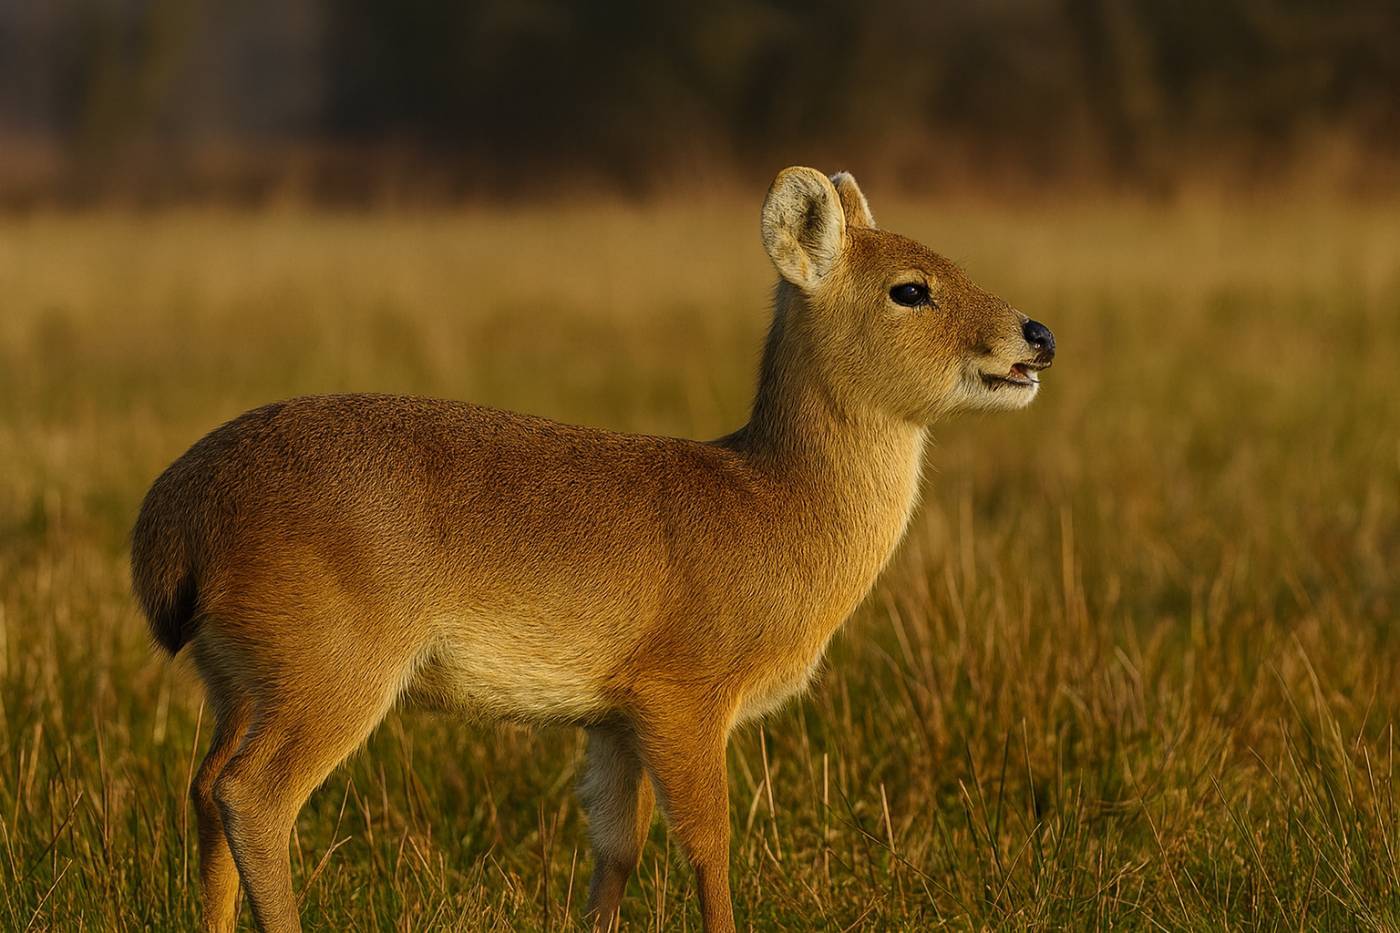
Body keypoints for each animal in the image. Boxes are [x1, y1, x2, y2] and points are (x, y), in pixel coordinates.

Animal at [131, 167, 1055, 932]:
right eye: (911, 288)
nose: (1037, 335)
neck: (775, 506)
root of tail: (171, 516)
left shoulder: (611, 714)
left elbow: (616, 846)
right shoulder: (682, 689)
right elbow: (709, 843)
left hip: (240, 679)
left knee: (204, 786)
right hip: (332, 667)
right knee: (251, 795)